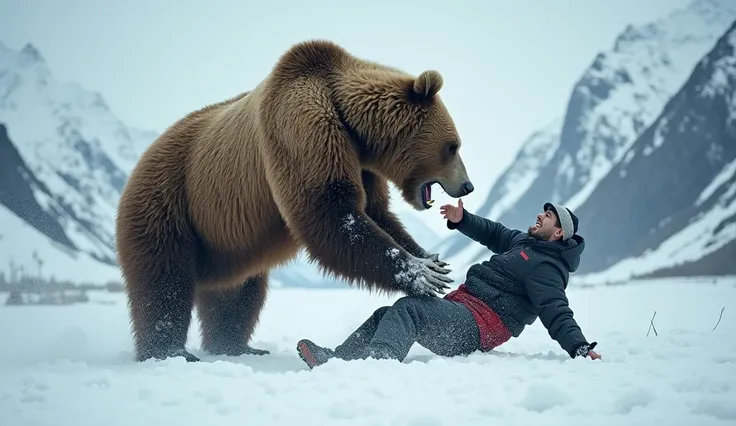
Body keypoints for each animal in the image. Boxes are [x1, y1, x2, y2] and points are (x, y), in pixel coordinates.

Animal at [113, 39, 472, 362]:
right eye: (453, 146)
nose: (467, 186)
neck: (353, 125)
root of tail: (143, 157)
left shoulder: (362, 165)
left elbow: (375, 213)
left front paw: (429, 259)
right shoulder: (302, 129)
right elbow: (330, 212)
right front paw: (423, 274)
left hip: (223, 240)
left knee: (239, 294)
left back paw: (236, 345)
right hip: (169, 197)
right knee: (164, 281)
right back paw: (169, 351)